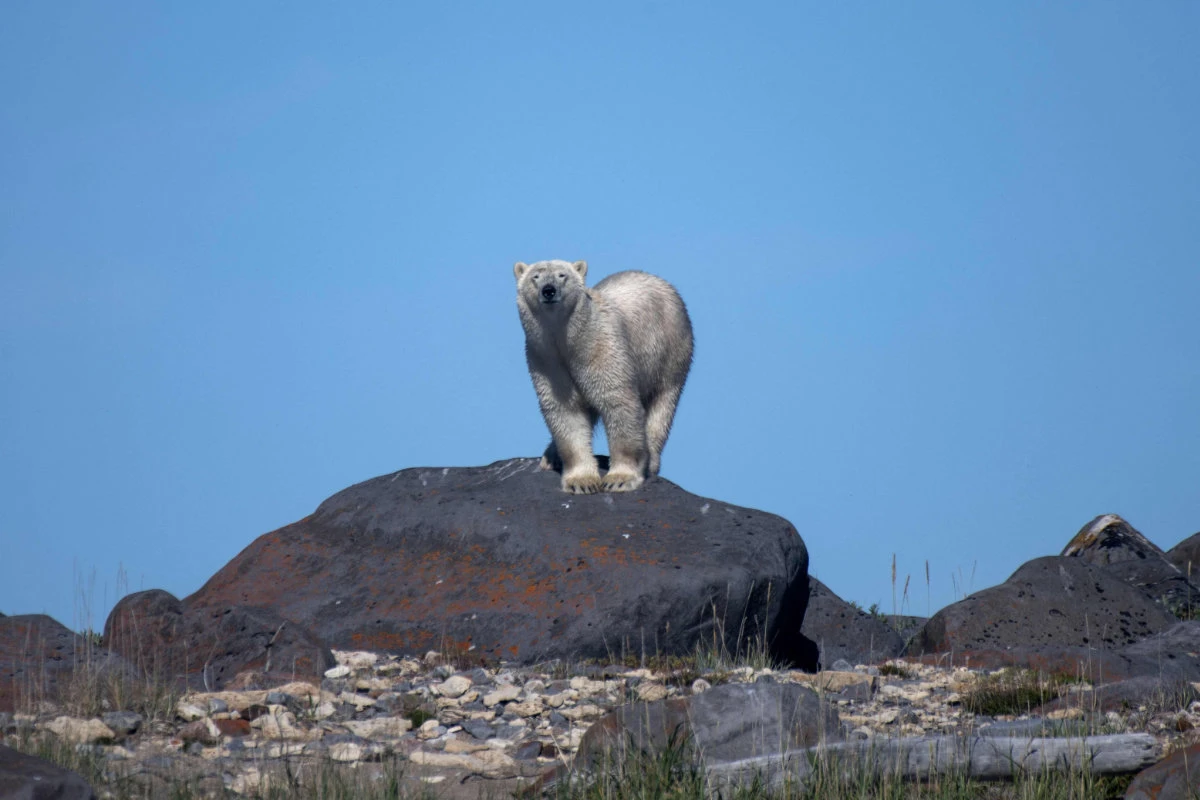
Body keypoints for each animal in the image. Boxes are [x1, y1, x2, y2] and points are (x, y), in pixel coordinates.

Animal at [513, 260, 693, 494]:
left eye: (562, 275)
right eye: (535, 276)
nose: (549, 290)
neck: (569, 341)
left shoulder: (602, 348)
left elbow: (617, 403)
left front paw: (620, 478)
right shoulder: (545, 360)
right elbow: (566, 412)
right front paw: (581, 481)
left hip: (671, 352)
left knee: (661, 406)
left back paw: (651, 461)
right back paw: (550, 457)